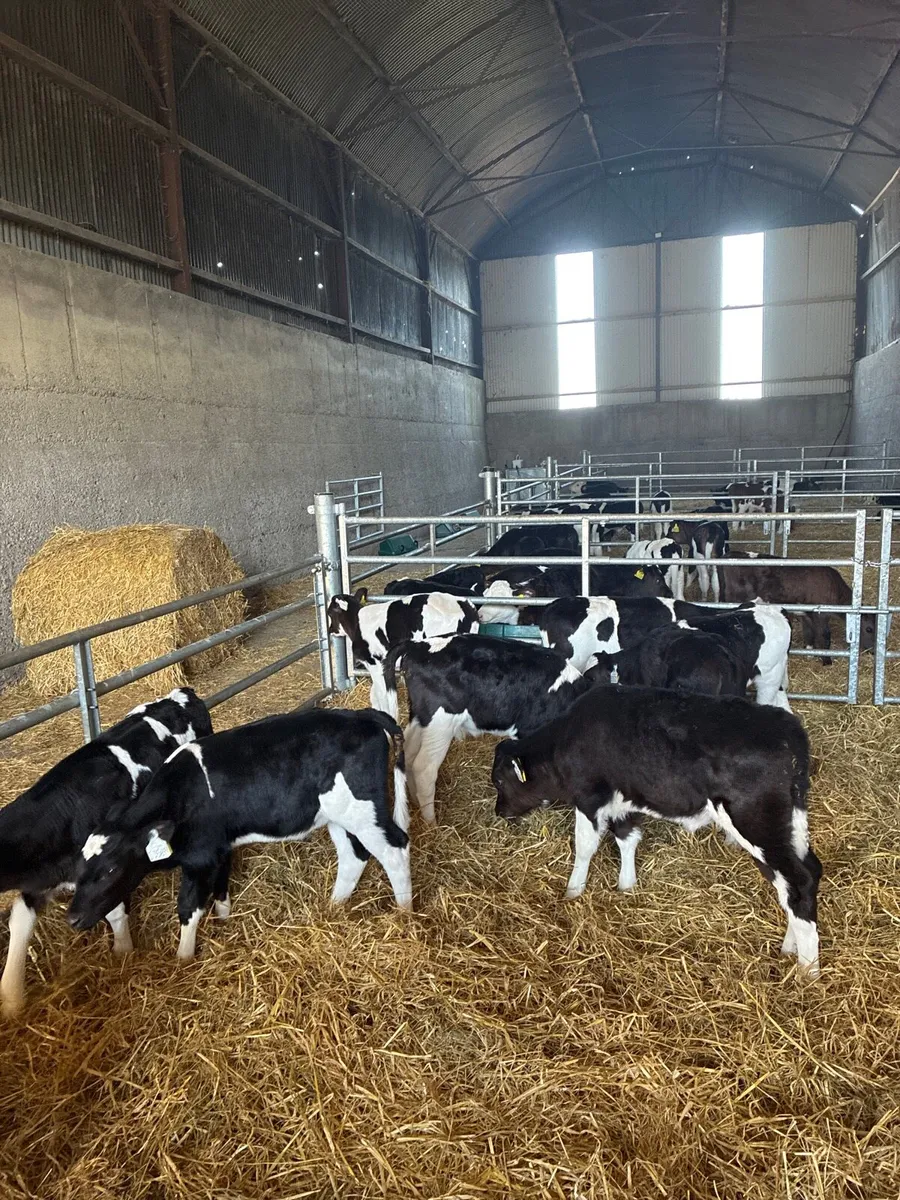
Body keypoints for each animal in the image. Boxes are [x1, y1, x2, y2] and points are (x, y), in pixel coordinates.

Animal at [0, 688, 211, 1016]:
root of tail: (180, 693)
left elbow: (112, 911)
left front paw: (122, 951)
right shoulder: (42, 881)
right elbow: (20, 921)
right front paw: (11, 998)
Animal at [67, 708, 411, 961]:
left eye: (110, 869)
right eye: (80, 869)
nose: (72, 918)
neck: (180, 794)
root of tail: (362, 714)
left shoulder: (200, 858)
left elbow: (188, 908)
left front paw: (183, 960)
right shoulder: (220, 849)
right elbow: (221, 890)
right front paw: (224, 921)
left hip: (364, 810)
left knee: (395, 849)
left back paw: (405, 915)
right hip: (337, 815)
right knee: (354, 856)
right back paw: (333, 908)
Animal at [327, 588, 478, 716]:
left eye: (329, 613)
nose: (330, 630)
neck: (357, 624)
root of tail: (464, 604)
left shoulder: (374, 663)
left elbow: (381, 694)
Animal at [491, 685, 821, 976]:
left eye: (499, 780)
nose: (499, 811)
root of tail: (787, 728)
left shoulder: (588, 797)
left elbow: (585, 846)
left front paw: (573, 891)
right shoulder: (624, 799)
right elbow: (627, 838)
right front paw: (626, 885)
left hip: (756, 824)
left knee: (798, 881)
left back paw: (808, 971)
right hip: (791, 823)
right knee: (803, 875)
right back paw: (791, 948)